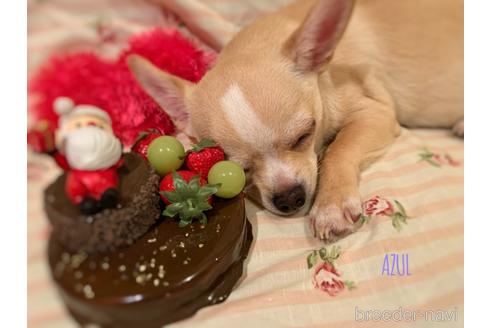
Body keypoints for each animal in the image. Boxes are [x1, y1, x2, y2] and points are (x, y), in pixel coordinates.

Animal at [129, 0, 464, 241]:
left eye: (304, 136)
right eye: (240, 169)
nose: (289, 197)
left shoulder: (375, 112)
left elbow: (337, 149)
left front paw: (331, 206)